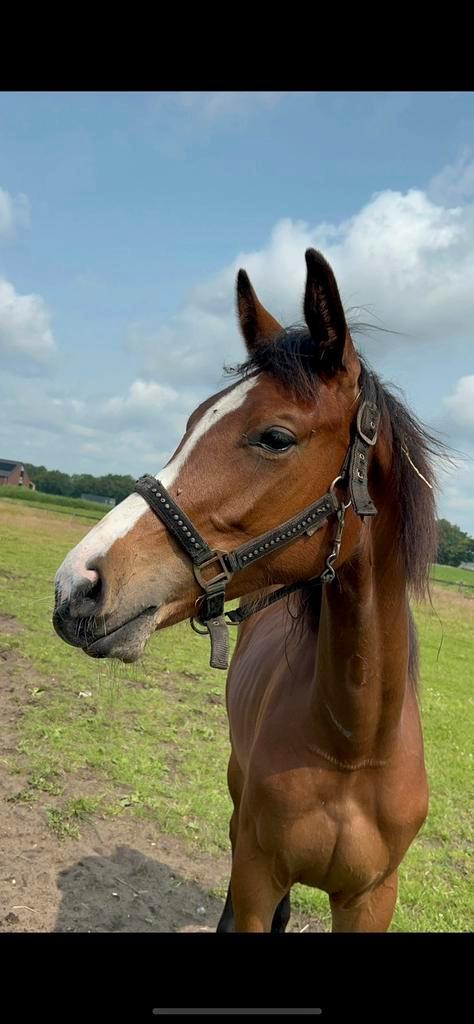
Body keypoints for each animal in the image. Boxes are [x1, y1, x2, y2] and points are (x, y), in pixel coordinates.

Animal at [53, 248, 443, 932]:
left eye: (275, 437)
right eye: (189, 423)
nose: (78, 585)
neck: (351, 748)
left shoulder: (372, 899)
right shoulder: (259, 874)